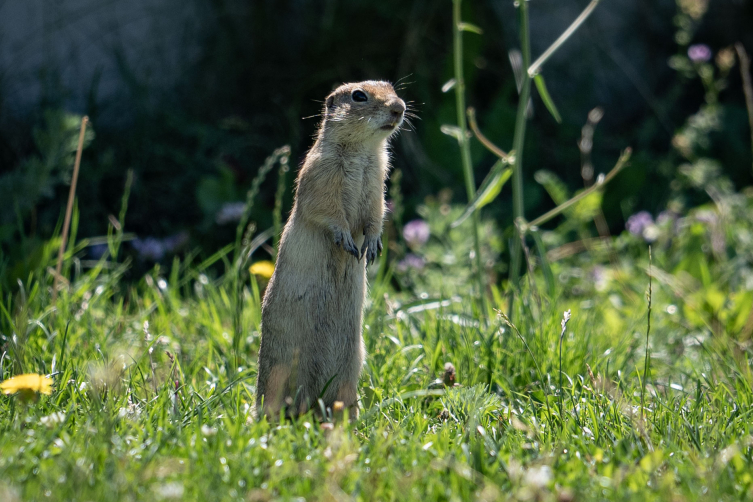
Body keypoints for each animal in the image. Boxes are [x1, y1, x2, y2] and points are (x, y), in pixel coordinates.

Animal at [256, 81, 406, 420]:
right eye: (359, 96)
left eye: (391, 87)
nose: (399, 107)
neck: (363, 152)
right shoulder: (320, 174)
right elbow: (326, 210)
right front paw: (346, 241)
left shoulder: (377, 185)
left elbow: (375, 215)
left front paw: (371, 246)